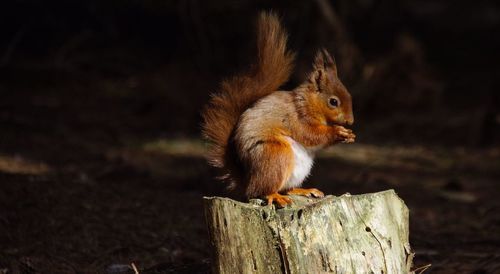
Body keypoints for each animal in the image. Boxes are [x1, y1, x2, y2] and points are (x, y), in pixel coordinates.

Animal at [201, 11, 354, 207]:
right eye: (333, 102)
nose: (350, 121)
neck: (306, 102)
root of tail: (248, 181)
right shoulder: (296, 117)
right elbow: (310, 134)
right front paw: (338, 132)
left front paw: (349, 135)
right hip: (275, 154)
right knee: (260, 191)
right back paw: (274, 196)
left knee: (285, 188)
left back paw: (303, 190)